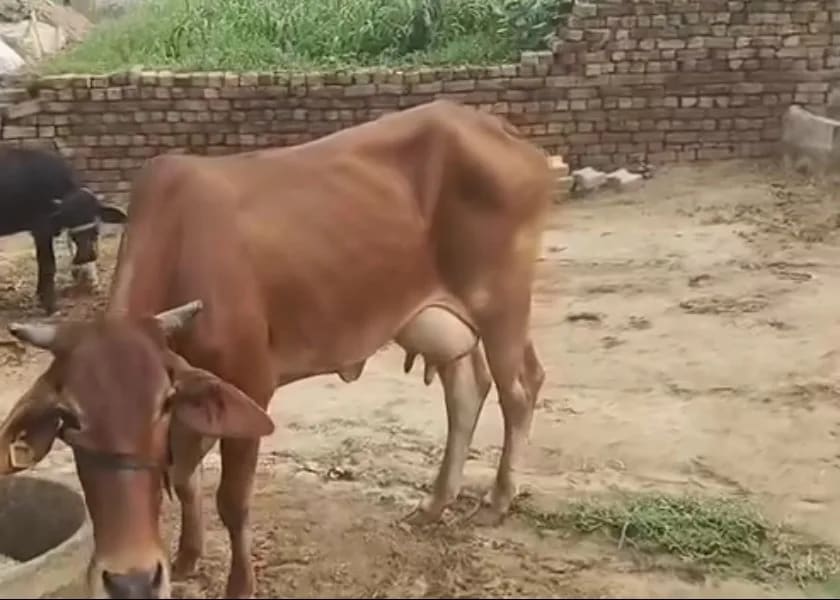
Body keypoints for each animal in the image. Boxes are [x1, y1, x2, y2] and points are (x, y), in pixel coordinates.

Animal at [0, 146, 127, 314]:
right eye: (70, 217)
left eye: (94, 220)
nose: (86, 256)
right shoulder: (41, 229)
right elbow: (48, 265)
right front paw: (50, 305)